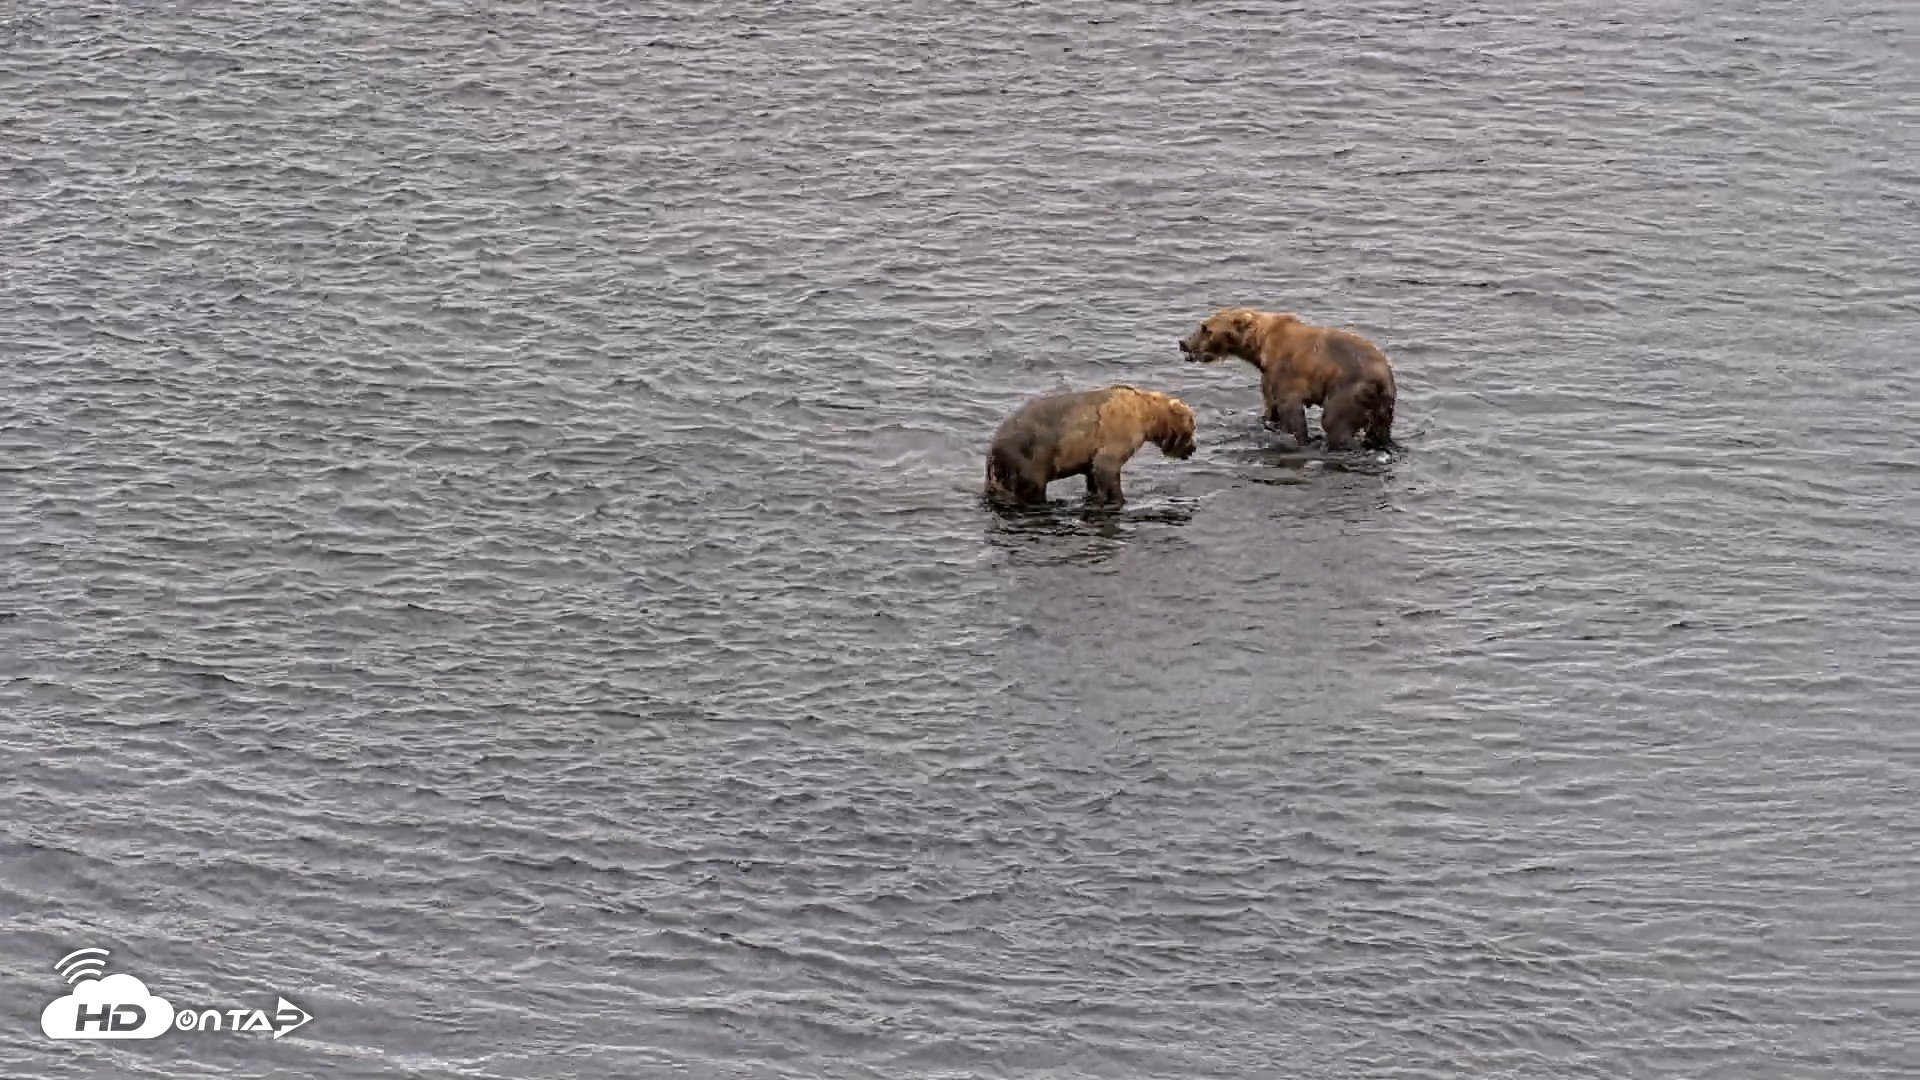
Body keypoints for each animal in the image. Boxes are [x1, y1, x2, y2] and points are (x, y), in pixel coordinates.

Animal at [984, 383, 1197, 508]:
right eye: (1193, 426)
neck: (1147, 416)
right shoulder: (1117, 434)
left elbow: (1093, 474)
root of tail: (992, 449)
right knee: (1033, 487)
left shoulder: (1090, 452)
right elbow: (1107, 469)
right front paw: (1120, 499)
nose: (1193, 448)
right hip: (1030, 456)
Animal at [1178, 307, 1396, 452]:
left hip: (1348, 389)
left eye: (1205, 328)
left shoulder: (1285, 371)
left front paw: (1300, 438)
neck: (1261, 346)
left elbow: (1290, 409)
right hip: (1384, 404)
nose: (1183, 342)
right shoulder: (1268, 376)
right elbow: (1271, 406)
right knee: (1380, 429)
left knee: (1335, 422)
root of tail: (1383, 378)